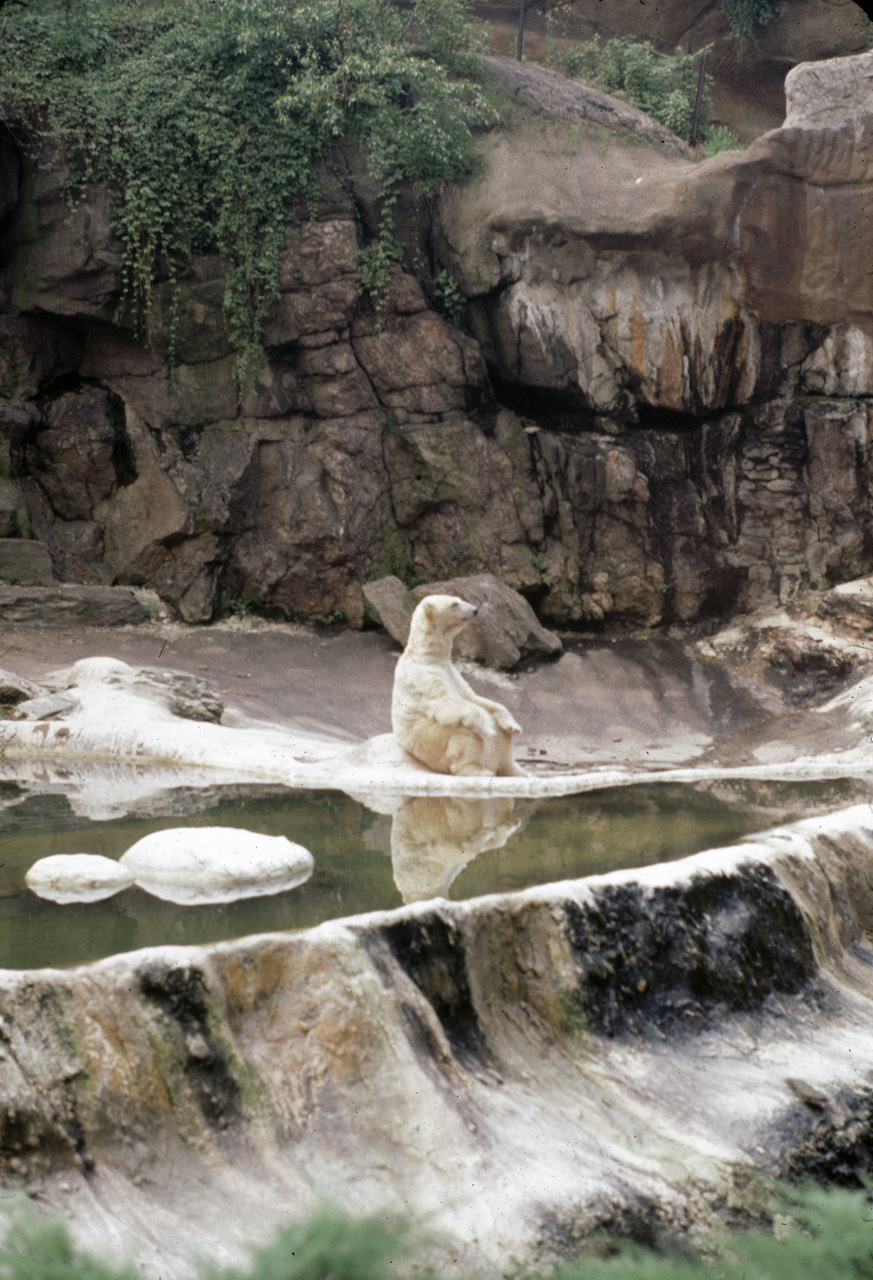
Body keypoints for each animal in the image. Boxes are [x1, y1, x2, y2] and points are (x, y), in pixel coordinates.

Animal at [389, 591, 524, 778]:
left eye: (459, 600)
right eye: (454, 604)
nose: (475, 610)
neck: (426, 654)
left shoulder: (452, 672)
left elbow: (473, 697)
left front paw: (512, 725)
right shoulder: (421, 676)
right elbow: (445, 702)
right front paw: (488, 728)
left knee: (504, 748)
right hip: (433, 744)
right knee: (463, 734)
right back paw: (481, 771)